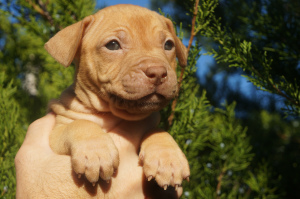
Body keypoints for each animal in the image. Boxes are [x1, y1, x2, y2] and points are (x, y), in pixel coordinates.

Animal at [44, 3, 190, 198]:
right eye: (113, 45)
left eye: (168, 45)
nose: (158, 72)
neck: (113, 112)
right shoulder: (57, 131)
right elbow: (81, 124)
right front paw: (96, 153)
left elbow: (158, 131)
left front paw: (168, 159)